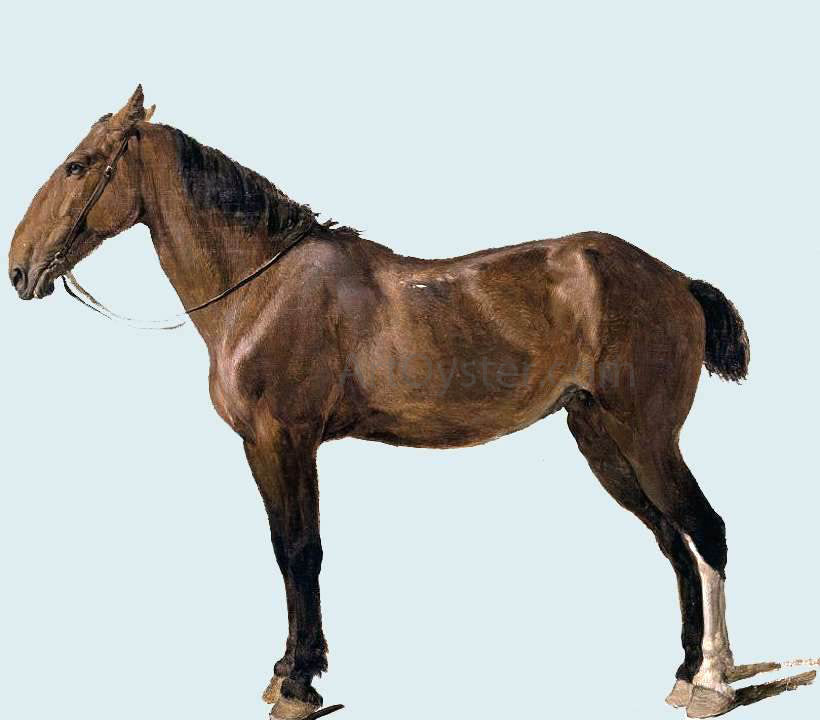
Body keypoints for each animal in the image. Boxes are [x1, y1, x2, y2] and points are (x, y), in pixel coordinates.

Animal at [8, 85, 793, 720]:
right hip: (601, 438)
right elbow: (283, 550)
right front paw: (287, 668)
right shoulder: (262, 449)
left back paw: (713, 684)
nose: (19, 268)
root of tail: (676, 280)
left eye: (79, 164)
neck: (262, 288)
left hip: (646, 435)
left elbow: (302, 552)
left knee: (707, 532)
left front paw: (300, 683)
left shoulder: (286, 439)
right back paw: (685, 672)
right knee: (672, 542)